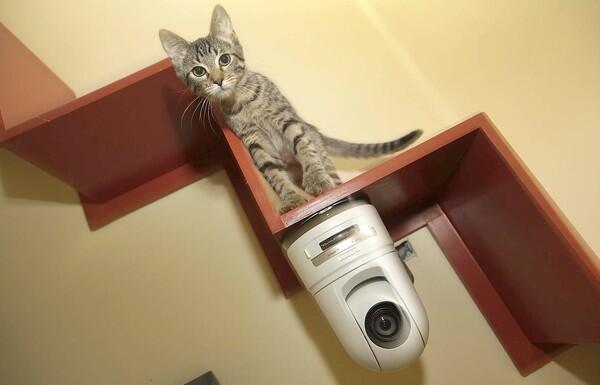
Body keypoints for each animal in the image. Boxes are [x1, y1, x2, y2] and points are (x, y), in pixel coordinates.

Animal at [159, 4, 422, 212]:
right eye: (198, 71)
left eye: (224, 59)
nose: (217, 80)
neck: (242, 101)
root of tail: (316, 130)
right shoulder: (254, 142)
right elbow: (272, 172)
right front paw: (290, 197)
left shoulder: (286, 120)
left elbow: (302, 146)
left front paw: (315, 178)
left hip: (315, 143)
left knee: (324, 163)